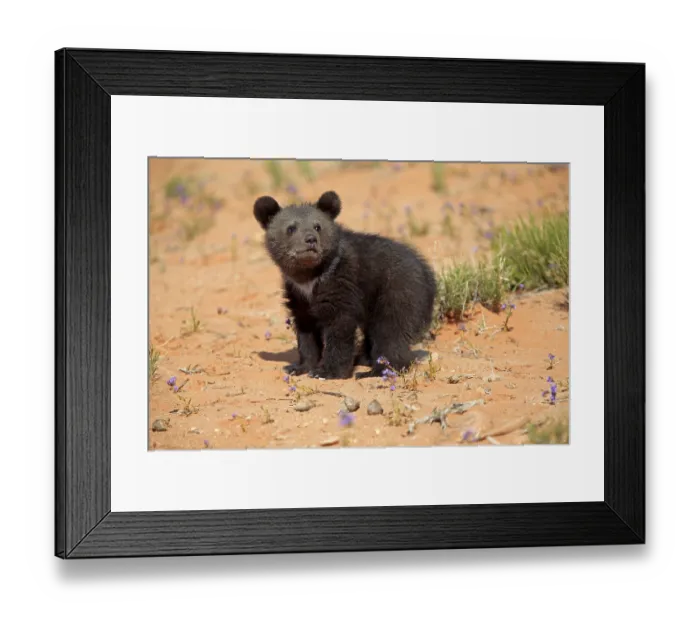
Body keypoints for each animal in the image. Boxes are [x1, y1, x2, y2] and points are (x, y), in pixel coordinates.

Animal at [254, 190, 437, 380]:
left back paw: (377, 370)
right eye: (291, 228)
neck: (310, 276)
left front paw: (327, 371)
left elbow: (339, 327)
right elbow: (306, 331)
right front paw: (299, 366)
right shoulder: (298, 297)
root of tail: (428, 276)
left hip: (398, 291)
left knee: (390, 331)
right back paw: (365, 358)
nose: (310, 240)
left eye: (317, 226)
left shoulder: (342, 284)